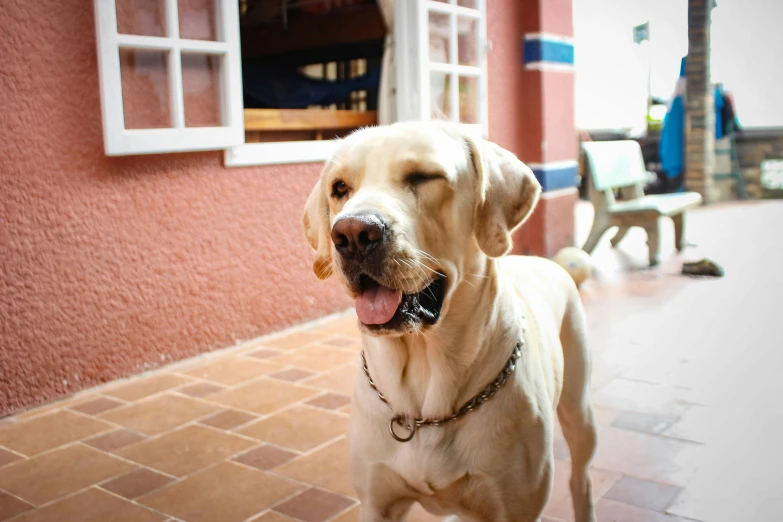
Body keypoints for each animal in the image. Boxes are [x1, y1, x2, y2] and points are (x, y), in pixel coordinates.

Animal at [304, 120, 596, 516]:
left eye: (424, 177)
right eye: (339, 188)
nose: (352, 233)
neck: (424, 406)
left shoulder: (515, 506)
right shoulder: (377, 502)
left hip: (579, 412)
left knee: (581, 478)